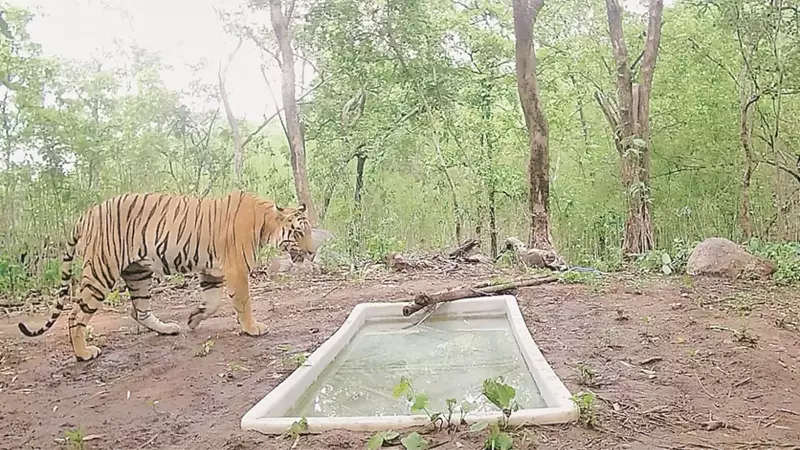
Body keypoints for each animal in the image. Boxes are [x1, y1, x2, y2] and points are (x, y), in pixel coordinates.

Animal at [17, 190, 314, 362]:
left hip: (138, 272)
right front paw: (253, 329)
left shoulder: (213, 271)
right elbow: (243, 302)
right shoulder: (236, 269)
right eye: (299, 233)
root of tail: (87, 213)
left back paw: (168, 328)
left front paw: (193, 318)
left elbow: (212, 302)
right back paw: (83, 354)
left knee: (139, 311)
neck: (266, 223)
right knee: (75, 314)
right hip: (102, 271)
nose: (312, 253)